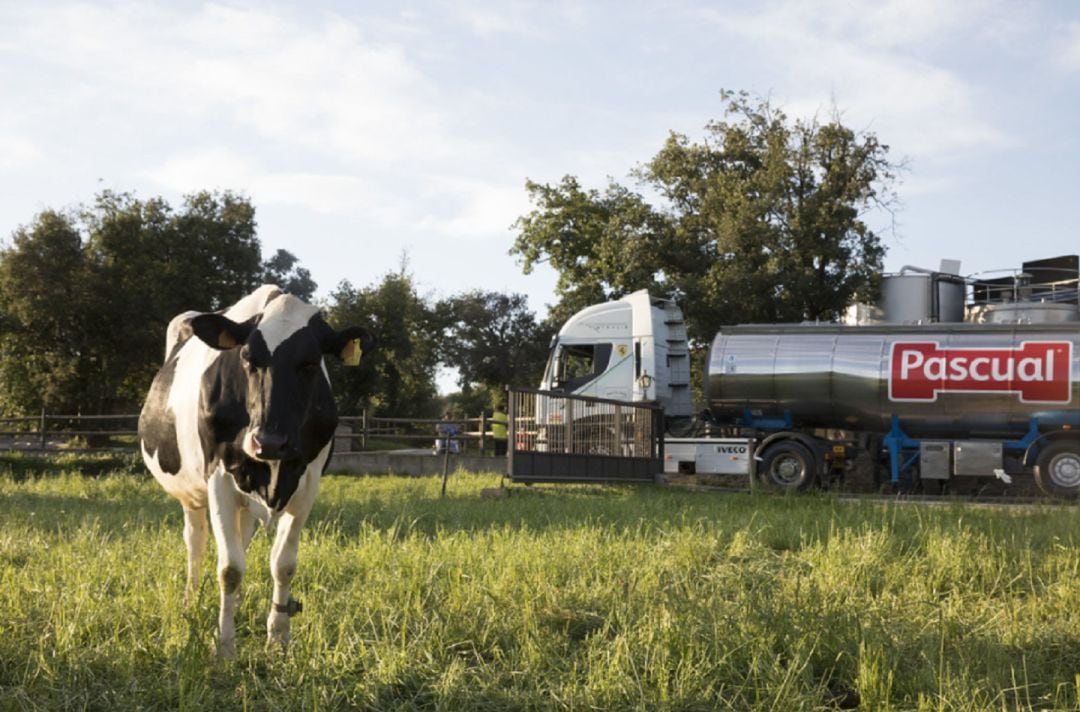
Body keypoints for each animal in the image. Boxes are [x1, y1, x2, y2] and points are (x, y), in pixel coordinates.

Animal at [139, 283, 375, 656]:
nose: (269, 441)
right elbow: (229, 568)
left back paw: (236, 604)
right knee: (196, 542)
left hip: (244, 500)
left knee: (241, 538)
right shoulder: (218, 478)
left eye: (311, 363)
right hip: (191, 495)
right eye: (248, 358)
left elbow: (283, 564)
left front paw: (278, 637)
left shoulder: (308, 482)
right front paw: (224, 645)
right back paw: (191, 602)